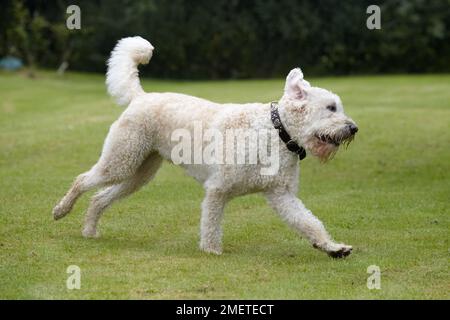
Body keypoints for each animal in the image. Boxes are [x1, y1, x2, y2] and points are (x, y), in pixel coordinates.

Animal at [52, 37, 358, 258]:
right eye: (331, 108)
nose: (354, 128)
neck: (274, 131)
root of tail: (141, 97)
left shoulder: (282, 196)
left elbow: (309, 223)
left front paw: (333, 248)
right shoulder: (217, 190)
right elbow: (211, 224)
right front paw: (211, 251)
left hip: (138, 174)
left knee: (99, 198)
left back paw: (89, 230)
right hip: (121, 161)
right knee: (82, 180)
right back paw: (61, 210)